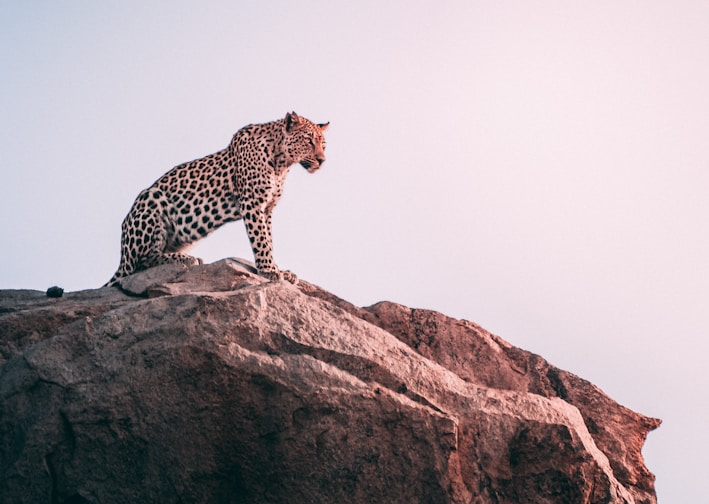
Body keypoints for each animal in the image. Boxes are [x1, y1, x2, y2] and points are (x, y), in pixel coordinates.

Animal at [103, 112, 330, 288]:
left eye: (324, 145)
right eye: (309, 140)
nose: (322, 160)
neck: (281, 163)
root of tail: (122, 257)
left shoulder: (267, 209)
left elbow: (269, 239)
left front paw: (277, 268)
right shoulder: (252, 203)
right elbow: (261, 240)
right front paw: (269, 270)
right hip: (151, 198)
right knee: (141, 263)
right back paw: (187, 259)